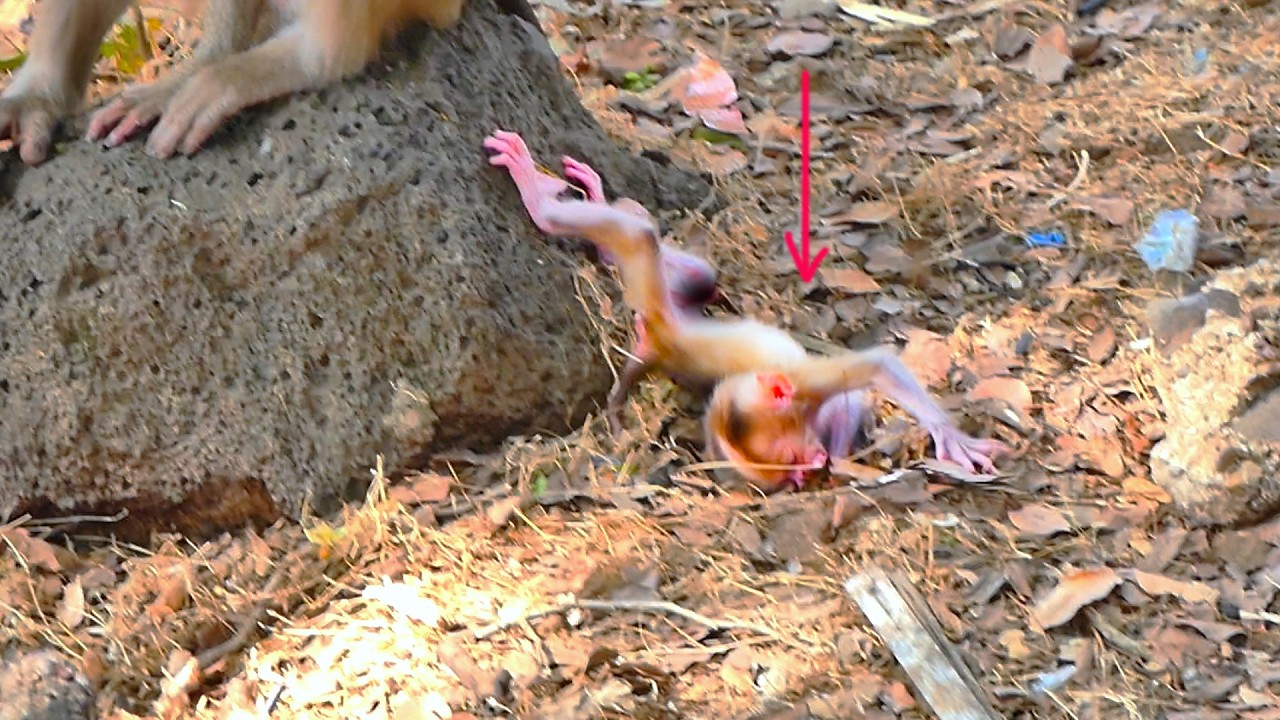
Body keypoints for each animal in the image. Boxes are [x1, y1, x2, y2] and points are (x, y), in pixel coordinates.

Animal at [485, 129, 1009, 491]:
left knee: (659, 251)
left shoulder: (804, 388)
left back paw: (559, 205)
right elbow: (854, 398)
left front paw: (947, 437)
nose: (811, 469)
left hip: (663, 295)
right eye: (791, 463)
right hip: (662, 303)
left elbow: (870, 373)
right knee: (665, 258)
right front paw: (842, 457)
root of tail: (658, 342)